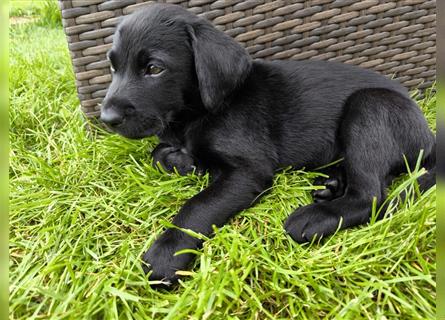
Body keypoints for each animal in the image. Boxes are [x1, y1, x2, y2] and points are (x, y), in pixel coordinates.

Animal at [99, 3, 434, 284]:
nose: (106, 117)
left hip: (370, 106)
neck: (199, 114)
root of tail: (429, 135)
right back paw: (332, 184)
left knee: (371, 196)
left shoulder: (248, 170)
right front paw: (182, 161)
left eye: (154, 68)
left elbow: (198, 205)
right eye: (113, 67)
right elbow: (158, 153)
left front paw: (167, 252)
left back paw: (314, 218)